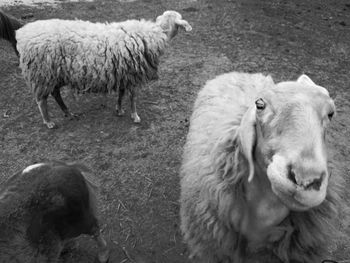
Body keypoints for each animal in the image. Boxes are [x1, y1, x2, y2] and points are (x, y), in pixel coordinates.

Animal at [0, 10, 191, 129]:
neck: (156, 34)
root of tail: (21, 33)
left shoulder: (123, 72)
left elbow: (121, 94)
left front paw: (119, 110)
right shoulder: (132, 74)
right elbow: (132, 97)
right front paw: (135, 116)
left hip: (53, 73)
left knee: (55, 93)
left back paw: (68, 112)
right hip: (41, 73)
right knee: (41, 100)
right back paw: (48, 122)